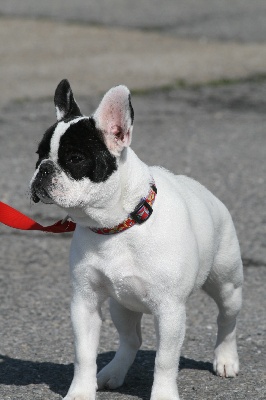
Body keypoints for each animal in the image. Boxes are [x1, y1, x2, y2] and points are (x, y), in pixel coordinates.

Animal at [29, 79, 243, 400]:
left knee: (226, 319)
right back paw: (113, 372)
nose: (43, 169)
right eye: (38, 155)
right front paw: (80, 392)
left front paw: (163, 395)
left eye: (75, 159)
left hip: (227, 284)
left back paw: (226, 359)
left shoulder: (170, 310)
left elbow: (165, 360)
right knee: (130, 339)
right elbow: (84, 354)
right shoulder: (84, 303)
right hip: (122, 305)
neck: (117, 226)